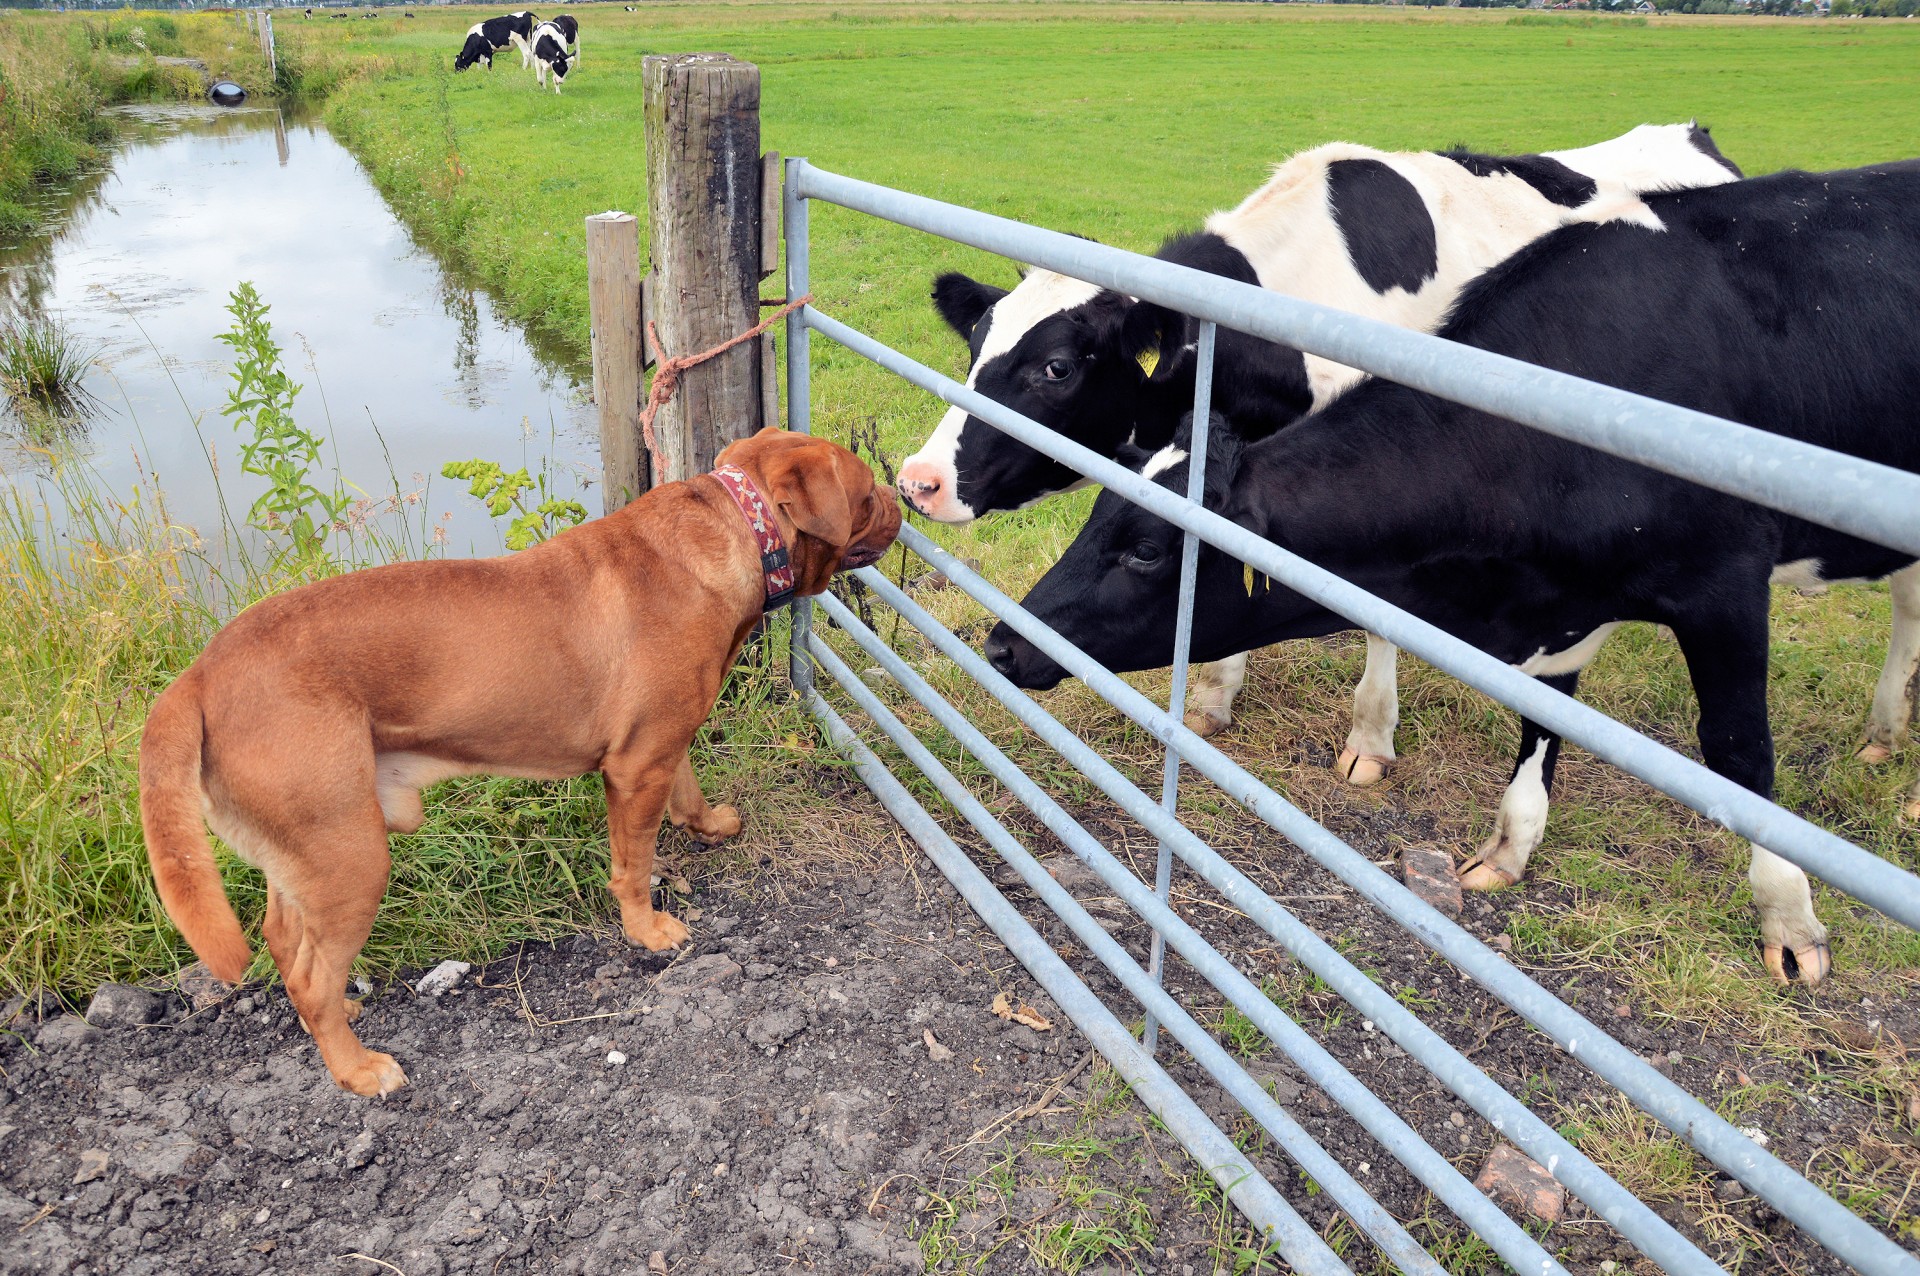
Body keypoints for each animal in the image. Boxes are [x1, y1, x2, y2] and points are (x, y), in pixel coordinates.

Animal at [139, 429, 902, 1097]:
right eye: (866, 492)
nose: (904, 499)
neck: (741, 529)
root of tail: (197, 678)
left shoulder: (662, 742)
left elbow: (688, 794)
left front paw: (711, 825)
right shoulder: (636, 767)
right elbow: (633, 864)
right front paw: (647, 929)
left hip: (306, 855)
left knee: (285, 943)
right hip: (349, 856)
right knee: (310, 979)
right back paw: (356, 1069)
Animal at [983, 162, 1920, 982]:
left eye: (1146, 550)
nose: (1000, 644)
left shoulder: (1723, 583)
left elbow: (1741, 755)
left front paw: (1791, 920)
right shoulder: (1558, 601)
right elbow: (1544, 711)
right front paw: (1512, 842)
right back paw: (1886, 733)